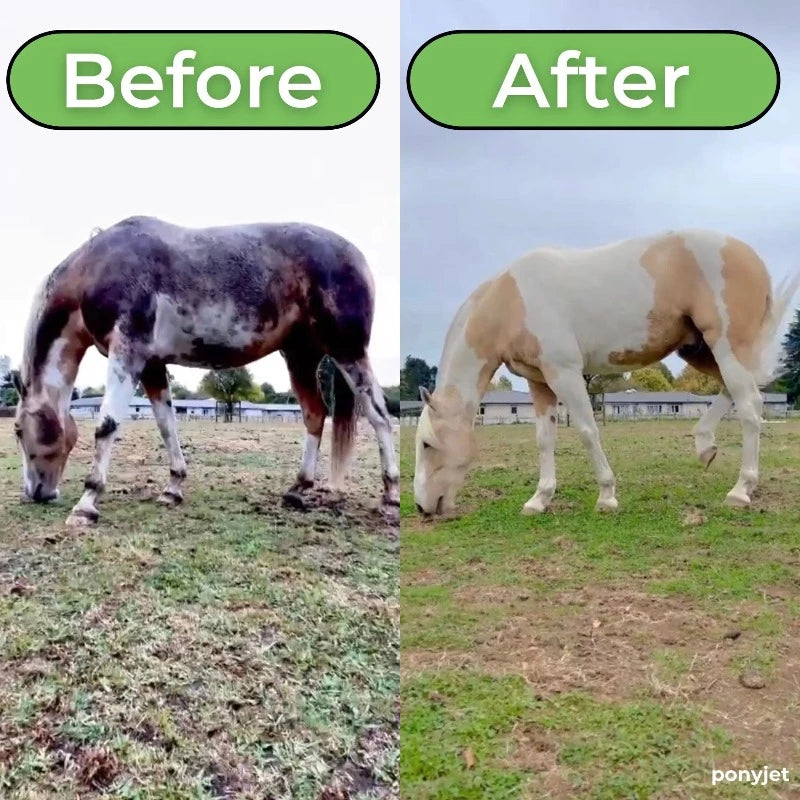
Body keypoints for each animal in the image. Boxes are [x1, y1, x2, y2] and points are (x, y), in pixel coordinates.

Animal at [13, 216, 399, 526]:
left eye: (17, 430)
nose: (35, 492)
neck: (99, 267)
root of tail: (356, 256)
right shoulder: (152, 366)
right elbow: (166, 426)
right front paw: (172, 488)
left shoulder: (128, 354)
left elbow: (107, 425)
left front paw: (87, 503)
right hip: (301, 357)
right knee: (315, 414)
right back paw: (297, 489)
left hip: (348, 351)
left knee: (379, 415)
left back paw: (390, 499)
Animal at [414, 230, 797, 516]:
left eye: (427, 444)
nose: (422, 507)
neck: (512, 300)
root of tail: (750, 256)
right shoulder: (540, 381)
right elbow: (544, 439)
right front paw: (539, 499)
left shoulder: (565, 373)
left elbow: (587, 431)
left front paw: (606, 496)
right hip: (701, 350)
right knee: (735, 393)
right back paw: (705, 446)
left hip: (726, 346)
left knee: (749, 408)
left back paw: (741, 490)